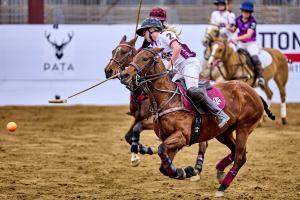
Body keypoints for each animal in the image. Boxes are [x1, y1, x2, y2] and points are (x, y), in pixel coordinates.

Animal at [119, 47, 274, 197]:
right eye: (133, 57)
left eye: (145, 58)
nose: (124, 75)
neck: (167, 98)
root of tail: (254, 92)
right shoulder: (171, 140)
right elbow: (164, 167)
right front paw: (185, 172)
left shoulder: (182, 136)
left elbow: (161, 149)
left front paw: (187, 171)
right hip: (223, 132)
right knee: (238, 151)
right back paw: (219, 172)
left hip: (244, 127)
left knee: (240, 157)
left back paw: (222, 187)